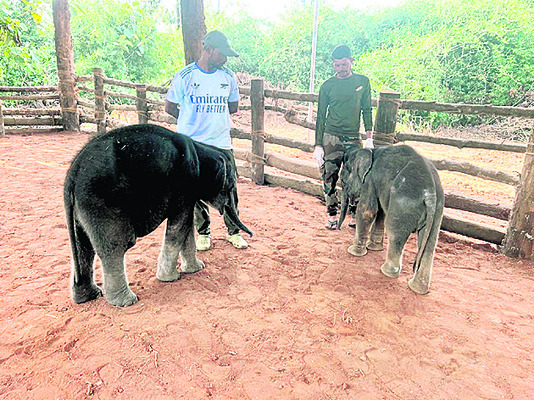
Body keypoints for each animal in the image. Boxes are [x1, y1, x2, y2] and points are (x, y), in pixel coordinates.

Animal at [65, 124, 253, 306]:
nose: (251, 236)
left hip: (83, 208)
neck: (201, 149)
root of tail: (71, 178)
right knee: (116, 245)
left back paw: (89, 296)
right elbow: (179, 226)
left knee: (84, 247)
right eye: (230, 185)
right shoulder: (184, 185)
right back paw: (126, 301)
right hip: (102, 203)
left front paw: (196, 269)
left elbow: (186, 225)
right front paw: (170, 278)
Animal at [342, 145, 446, 296]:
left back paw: (387, 272)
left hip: (403, 204)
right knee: (430, 243)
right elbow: (380, 213)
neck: (370, 150)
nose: (335, 226)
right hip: (438, 209)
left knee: (395, 233)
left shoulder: (369, 181)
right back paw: (418, 288)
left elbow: (368, 211)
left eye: (343, 181)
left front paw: (353, 252)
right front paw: (373, 248)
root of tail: (430, 193)